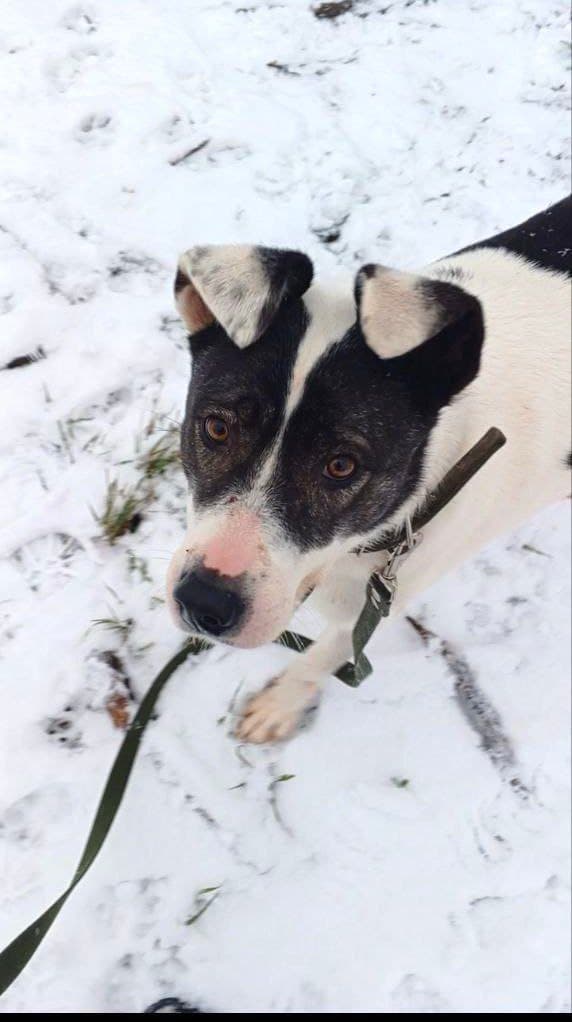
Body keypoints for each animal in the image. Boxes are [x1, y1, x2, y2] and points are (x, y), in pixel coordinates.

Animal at [166, 197, 571, 743]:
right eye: (217, 428)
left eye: (342, 465)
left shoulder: (374, 605)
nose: (204, 602)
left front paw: (279, 706)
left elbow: (322, 658)